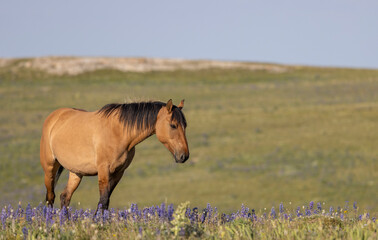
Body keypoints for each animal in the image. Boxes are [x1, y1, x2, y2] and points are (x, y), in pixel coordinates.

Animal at [39, 99, 189, 210]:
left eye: (185, 126)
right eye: (173, 125)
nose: (184, 156)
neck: (119, 132)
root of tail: (54, 117)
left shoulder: (118, 172)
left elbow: (105, 201)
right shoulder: (104, 171)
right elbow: (103, 201)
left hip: (76, 172)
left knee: (65, 197)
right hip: (49, 168)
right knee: (50, 197)